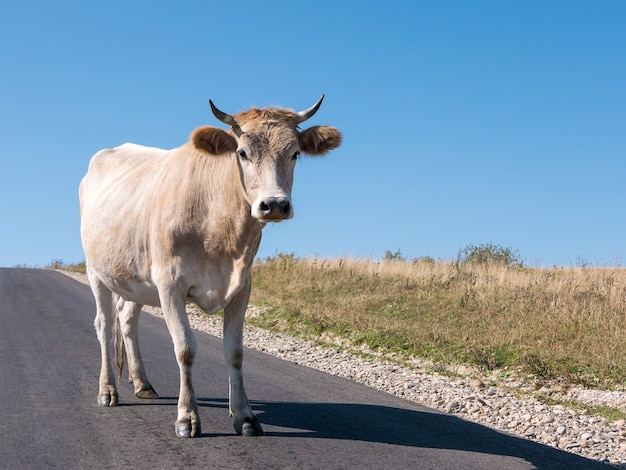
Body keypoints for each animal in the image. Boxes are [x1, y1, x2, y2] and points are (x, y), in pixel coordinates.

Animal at [80, 95, 342, 436]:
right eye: (242, 153)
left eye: (295, 153)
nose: (274, 205)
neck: (221, 231)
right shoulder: (169, 283)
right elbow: (185, 348)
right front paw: (186, 417)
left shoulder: (242, 285)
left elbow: (235, 352)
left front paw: (244, 416)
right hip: (96, 271)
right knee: (104, 323)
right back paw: (108, 390)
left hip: (135, 277)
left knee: (126, 319)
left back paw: (143, 384)